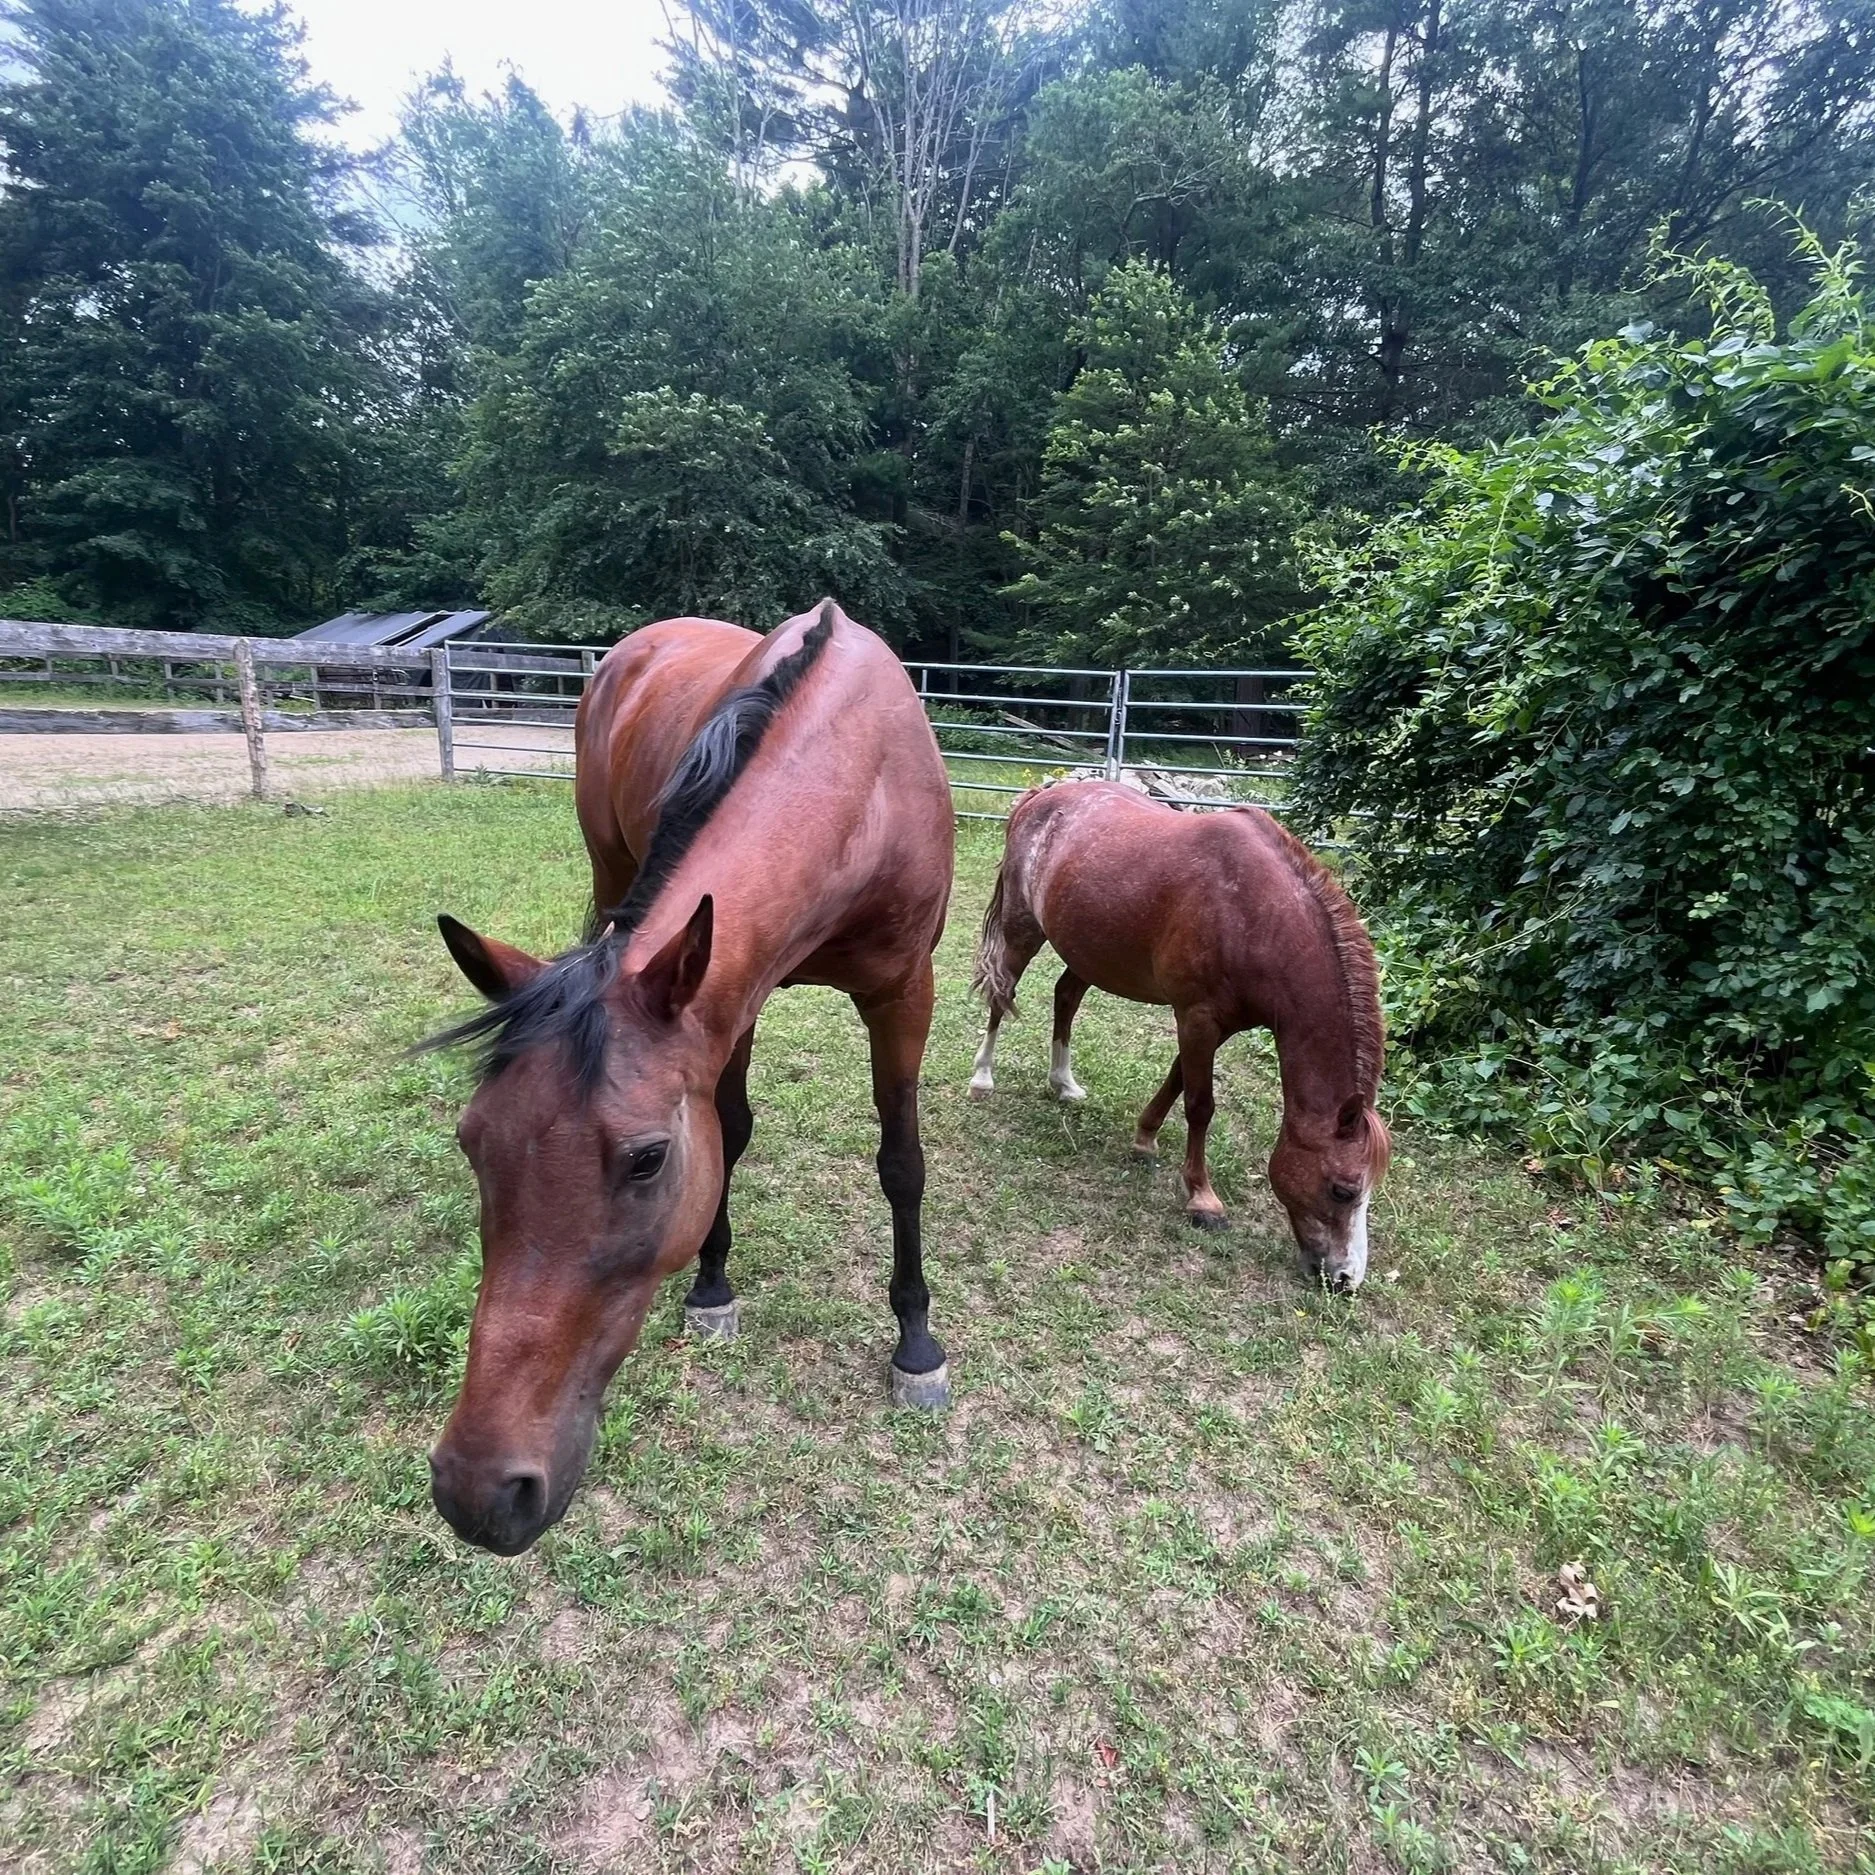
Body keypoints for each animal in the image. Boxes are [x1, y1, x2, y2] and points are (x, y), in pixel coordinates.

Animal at [424, 600, 955, 1555]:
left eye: (646, 1159)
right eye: (471, 1141)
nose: (478, 1490)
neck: (863, 780)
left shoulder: (903, 992)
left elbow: (902, 1163)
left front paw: (916, 1342)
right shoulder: (727, 997)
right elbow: (731, 1130)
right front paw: (712, 1284)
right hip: (607, 862)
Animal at [968, 780, 1389, 1288]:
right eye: (1343, 1190)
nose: (1346, 1279)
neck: (1255, 914)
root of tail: (1039, 796)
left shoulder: (1216, 1023)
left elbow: (1177, 1081)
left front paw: (1144, 1140)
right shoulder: (1198, 1017)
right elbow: (1199, 1104)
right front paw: (1202, 1199)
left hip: (1087, 950)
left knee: (1066, 997)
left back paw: (1063, 1082)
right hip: (1021, 929)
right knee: (1002, 993)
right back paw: (982, 1077)